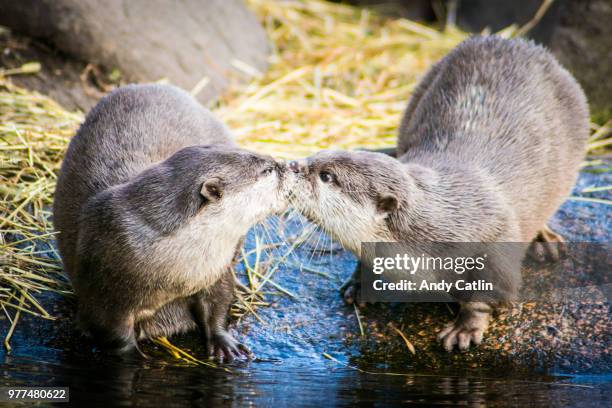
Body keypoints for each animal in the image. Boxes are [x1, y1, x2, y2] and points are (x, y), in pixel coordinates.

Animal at [53, 83, 290, 360]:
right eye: (267, 170)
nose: (287, 165)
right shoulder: (105, 292)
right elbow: (114, 335)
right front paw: (135, 359)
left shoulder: (217, 270)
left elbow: (217, 305)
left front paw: (224, 342)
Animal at [290, 36, 592, 350]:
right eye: (316, 154)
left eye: (326, 175)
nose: (292, 165)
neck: (442, 224)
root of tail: (512, 40)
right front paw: (360, 284)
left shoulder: (496, 244)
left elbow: (486, 295)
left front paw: (465, 329)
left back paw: (545, 241)